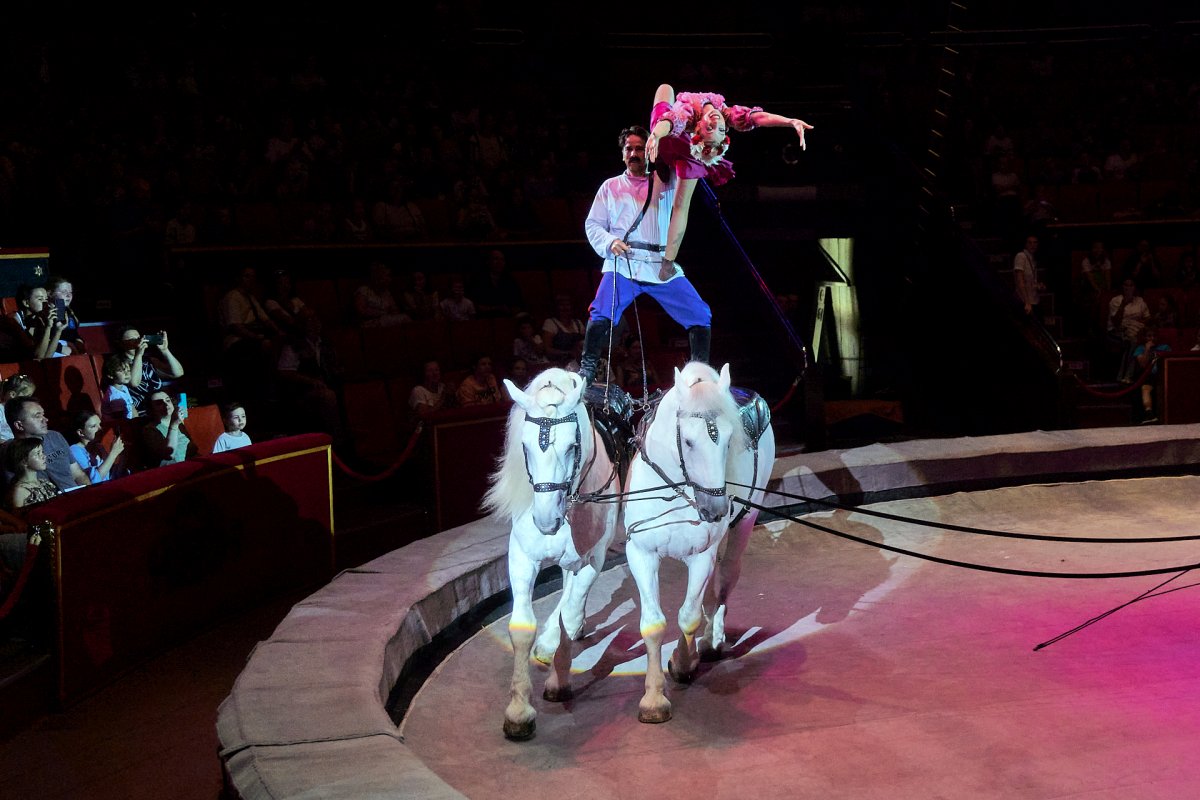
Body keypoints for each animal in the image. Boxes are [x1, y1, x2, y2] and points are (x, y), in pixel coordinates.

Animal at [482, 367, 624, 743]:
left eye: (572, 446)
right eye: (525, 446)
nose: (546, 520)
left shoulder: (593, 559)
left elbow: (569, 613)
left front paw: (559, 680)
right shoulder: (521, 559)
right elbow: (521, 626)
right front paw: (518, 711)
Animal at [619, 362, 777, 724]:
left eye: (731, 440)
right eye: (689, 442)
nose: (715, 509)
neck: (677, 490)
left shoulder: (702, 555)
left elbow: (688, 615)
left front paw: (682, 662)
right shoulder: (641, 553)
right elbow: (653, 623)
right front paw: (653, 699)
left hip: (745, 520)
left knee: (725, 577)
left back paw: (710, 639)